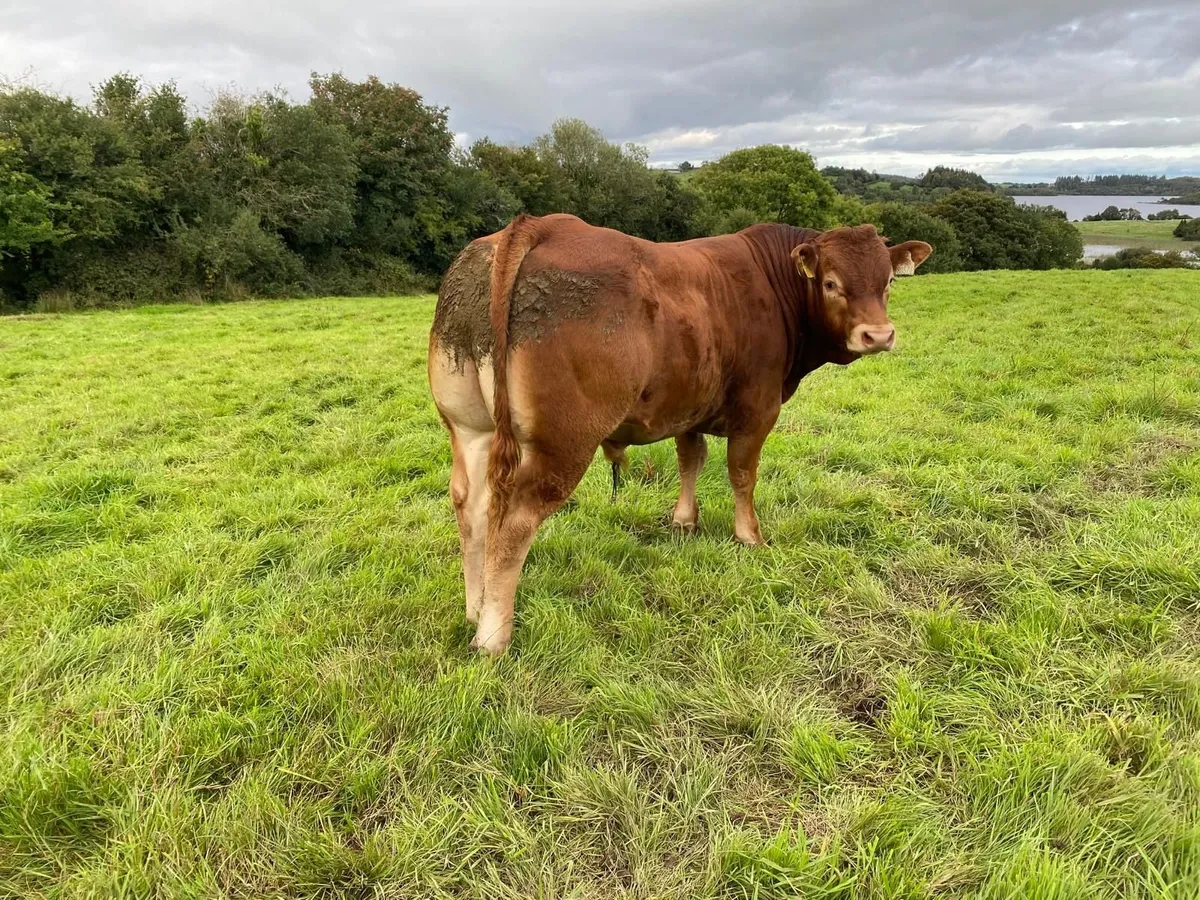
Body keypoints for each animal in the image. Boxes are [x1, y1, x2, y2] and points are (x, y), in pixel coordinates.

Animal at [428, 213, 931, 654]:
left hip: (470, 427)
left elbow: (692, 459)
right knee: (515, 521)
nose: (878, 335)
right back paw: (493, 636)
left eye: (888, 282)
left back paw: (475, 608)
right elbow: (742, 474)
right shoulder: (758, 409)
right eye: (831, 283)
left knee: (469, 505)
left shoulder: (687, 409)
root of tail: (539, 224)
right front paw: (749, 536)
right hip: (562, 444)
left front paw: (684, 520)